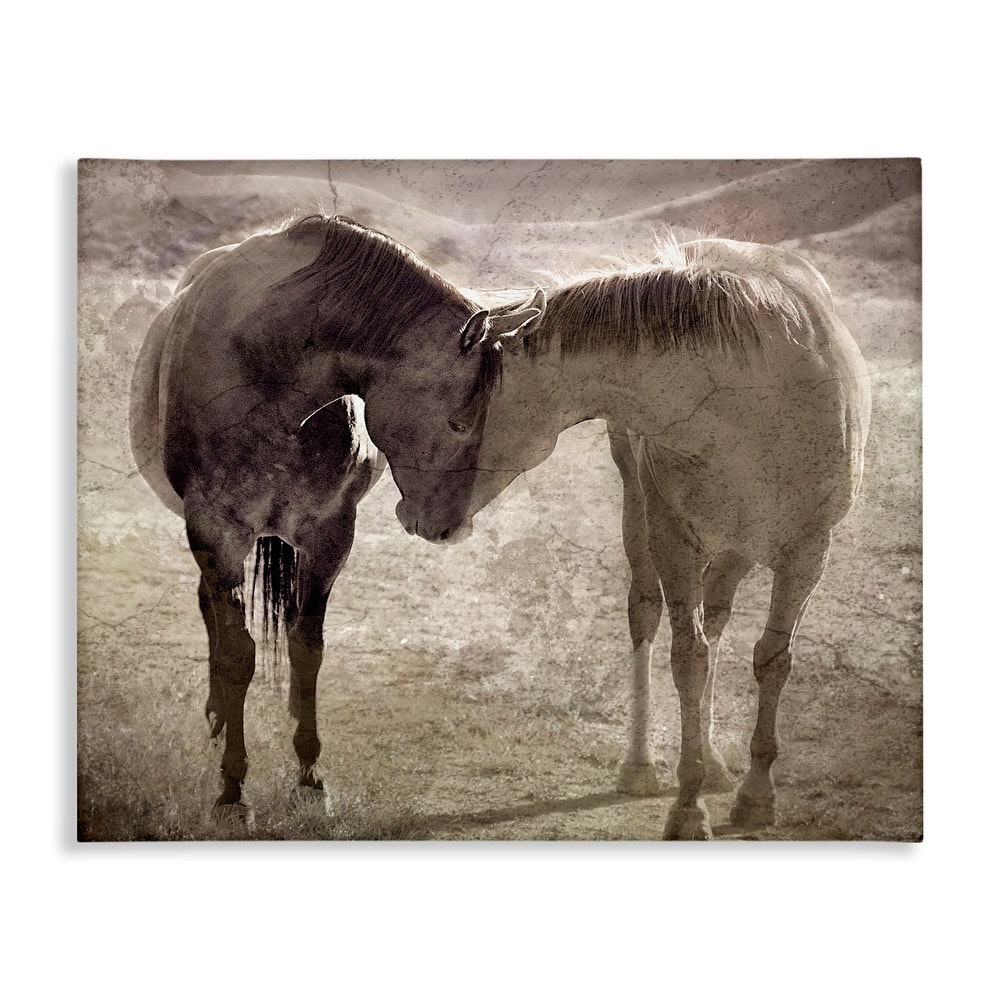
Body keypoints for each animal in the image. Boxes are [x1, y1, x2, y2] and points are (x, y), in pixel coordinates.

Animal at [129, 214, 543, 820]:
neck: (267, 371)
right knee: (213, 614)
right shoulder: (215, 531)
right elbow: (237, 654)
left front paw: (308, 774)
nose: (449, 527)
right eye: (460, 422)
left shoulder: (328, 537)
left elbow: (307, 649)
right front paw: (232, 787)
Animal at [456, 238, 871, 840]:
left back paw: (716, 762)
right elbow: (687, 660)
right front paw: (688, 806)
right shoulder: (674, 542)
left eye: (464, 417)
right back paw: (641, 766)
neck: (746, 405)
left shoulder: (807, 550)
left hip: (738, 548)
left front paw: (756, 795)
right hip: (640, 513)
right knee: (646, 613)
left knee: (717, 620)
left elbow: (771, 659)